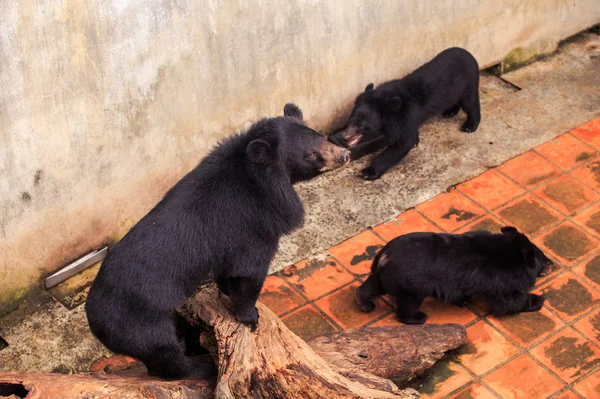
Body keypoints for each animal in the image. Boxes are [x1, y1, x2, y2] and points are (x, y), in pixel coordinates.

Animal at [342, 47, 478, 180]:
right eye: (351, 119)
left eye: (363, 126)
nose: (345, 137)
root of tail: (469, 54)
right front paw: (417, 141)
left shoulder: (407, 114)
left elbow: (403, 142)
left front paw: (368, 172)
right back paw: (450, 112)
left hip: (468, 82)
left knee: (470, 103)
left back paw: (469, 126)